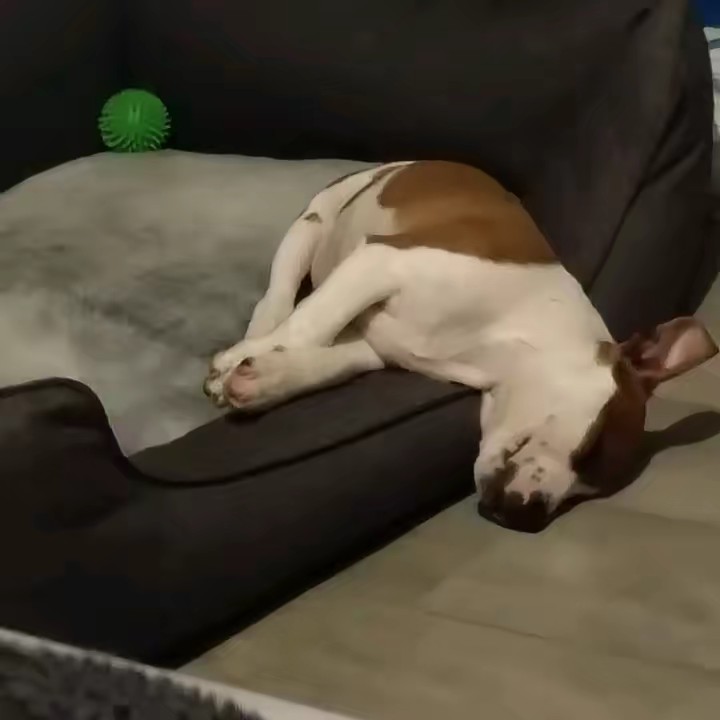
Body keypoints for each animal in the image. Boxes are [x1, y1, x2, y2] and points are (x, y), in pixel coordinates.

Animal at [203, 161, 718, 530]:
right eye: (589, 450)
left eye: (587, 489)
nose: (528, 515)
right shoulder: (382, 260)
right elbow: (310, 324)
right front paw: (244, 362)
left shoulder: (371, 343)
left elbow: (328, 358)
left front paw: (266, 379)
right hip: (311, 225)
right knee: (280, 295)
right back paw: (252, 338)